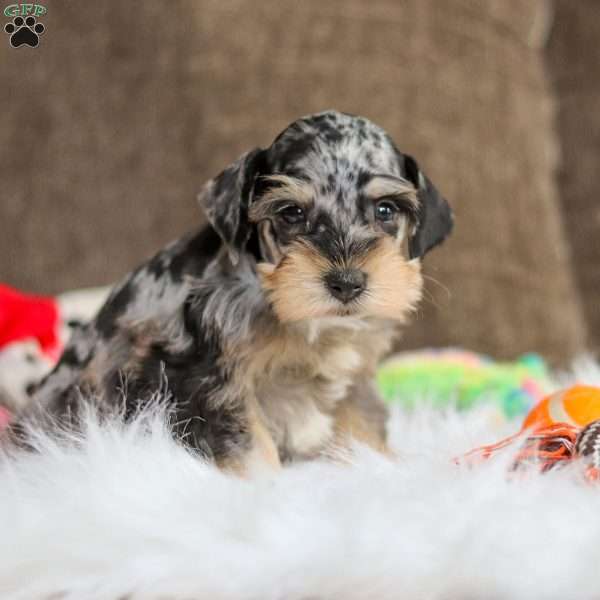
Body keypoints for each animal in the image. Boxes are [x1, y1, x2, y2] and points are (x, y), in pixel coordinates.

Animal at [10, 110, 450, 472]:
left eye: (385, 210)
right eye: (292, 213)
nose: (346, 282)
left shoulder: (355, 374)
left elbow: (363, 421)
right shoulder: (209, 385)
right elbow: (250, 448)